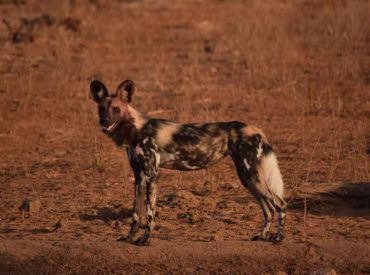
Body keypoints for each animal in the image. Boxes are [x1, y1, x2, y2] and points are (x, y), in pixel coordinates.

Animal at [89, 80, 286, 246]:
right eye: (101, 108)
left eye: (116, 109)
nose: (104, 121)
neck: (135, 129)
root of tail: (255, 128)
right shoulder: (139, 176)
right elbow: (136, 213)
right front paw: (130, 238)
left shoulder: (152, 174)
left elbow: (150, 212)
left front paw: (145, 240)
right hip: (247, 177)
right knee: (268, 208)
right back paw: (262, 236)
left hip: (251, 174)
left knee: (280, 203)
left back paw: (278, 238)